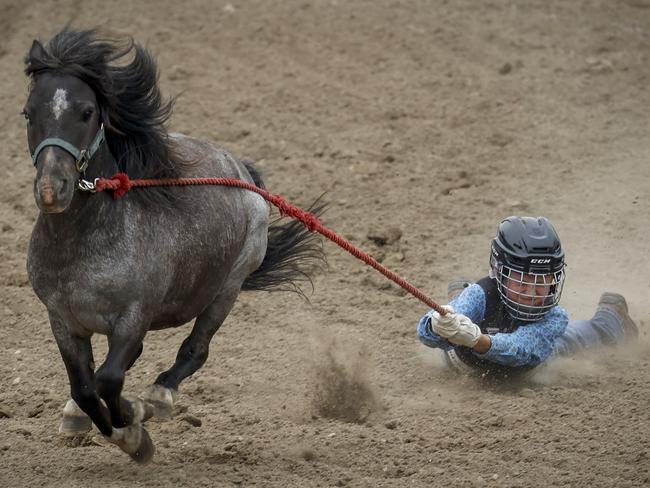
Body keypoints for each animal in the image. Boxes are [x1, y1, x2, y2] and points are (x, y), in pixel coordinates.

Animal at [24, 28, 322, 464]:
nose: (51, 190)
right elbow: (85, 386)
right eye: (29, 113)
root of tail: (239, 169)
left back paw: (158, 398)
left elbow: (108, 381)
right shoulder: (61, 318)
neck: (84, 246)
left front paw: (134, 431)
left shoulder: (135, 315)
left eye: (87, 112)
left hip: (228, 287)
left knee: (194, 350)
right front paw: (87, 417)